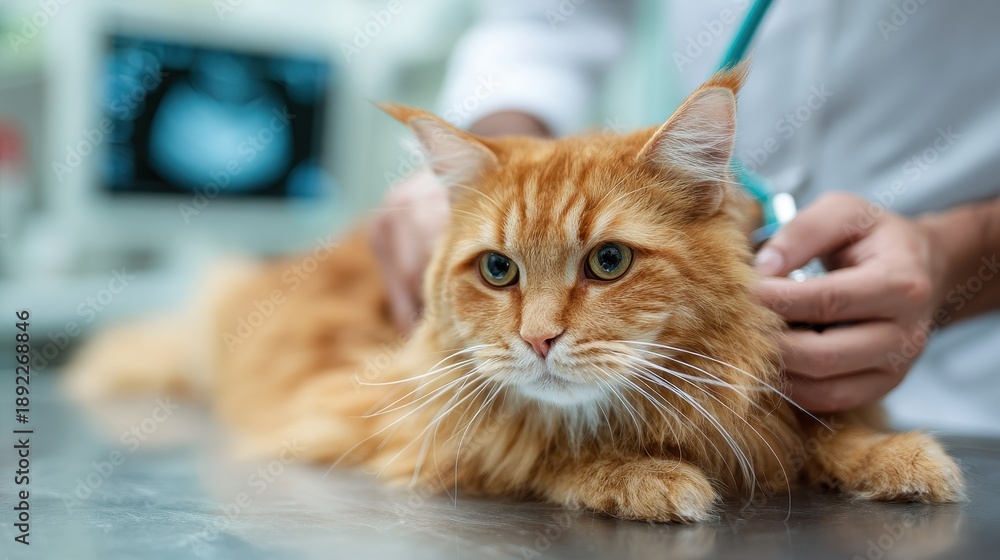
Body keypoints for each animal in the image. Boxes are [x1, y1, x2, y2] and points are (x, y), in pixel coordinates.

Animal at [68, 65, 964, 522]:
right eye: (498, 271)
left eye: (609, 262)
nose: (538, 340)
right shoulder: (375, 411)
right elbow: (528, 449)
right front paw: (639, 475)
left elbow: (822, 430)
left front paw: (894, 454)